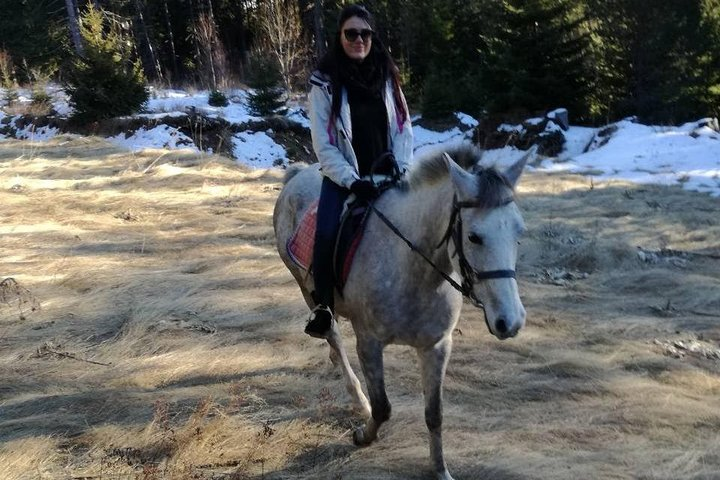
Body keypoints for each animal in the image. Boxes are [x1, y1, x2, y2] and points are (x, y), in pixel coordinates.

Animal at [272, 144, 532, 478]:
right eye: (474, 236)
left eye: (519, 232)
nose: (510, 322)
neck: (415, 271)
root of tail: (297, 174)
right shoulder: (369, 343)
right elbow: (383, 407)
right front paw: (363, 436)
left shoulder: (437, 347)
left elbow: (435, 414)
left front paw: (440, 469)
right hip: (308, 290)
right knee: (334, 337)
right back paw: (358, 398)